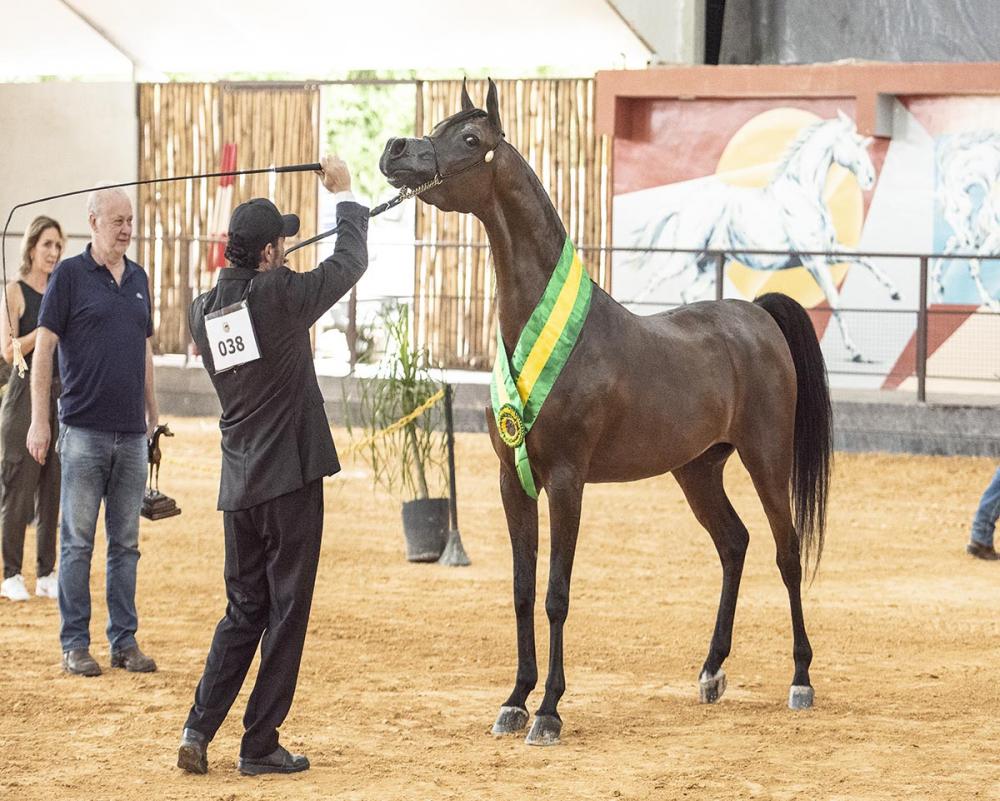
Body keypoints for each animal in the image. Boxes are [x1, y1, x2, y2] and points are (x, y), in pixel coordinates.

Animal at [380, 79, 832, 746]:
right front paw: (514, 700)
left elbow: (556, 594)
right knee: (734, 544)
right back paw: (711, 672)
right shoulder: (514, 482)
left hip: (767, 460)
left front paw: (548, 710)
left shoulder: (568, 482)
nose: (393, 150)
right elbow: (522, 591)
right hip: (698, 469)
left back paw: (800, 680)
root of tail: (756, 315)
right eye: (436, 126)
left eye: (468, 137)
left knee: (786, 552)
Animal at [626, 111, 900, 362]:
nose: (870, 178)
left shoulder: (828, 252)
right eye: (856, 144)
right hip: (685, 255)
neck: (803, 193)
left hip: (709, 267)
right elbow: (835, 299)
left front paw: (894, 292)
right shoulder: (813, 259)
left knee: (687, 294)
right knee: (654, 279)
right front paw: (855, 351)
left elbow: (865, 259)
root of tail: (686, 204)